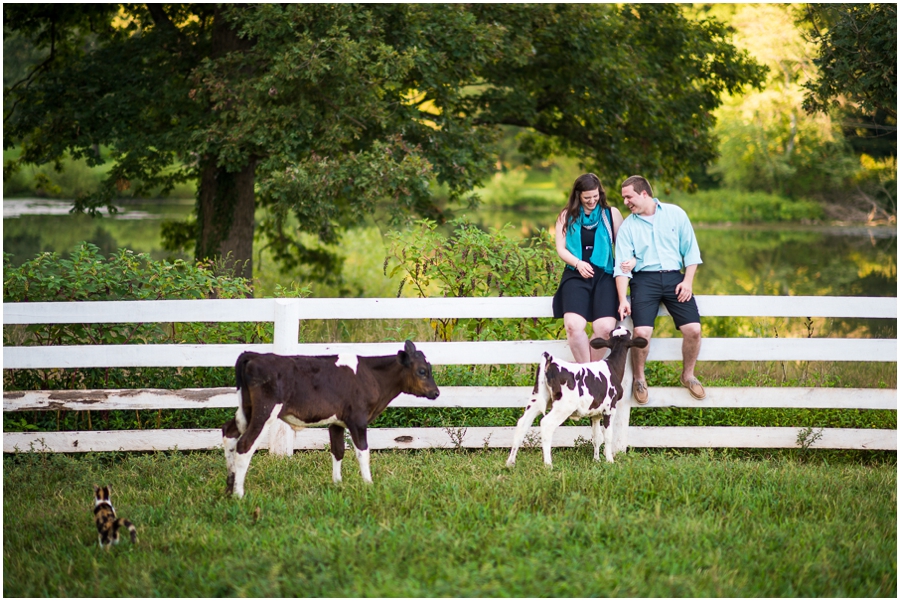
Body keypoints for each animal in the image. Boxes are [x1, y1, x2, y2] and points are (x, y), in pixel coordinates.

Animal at [221, 340, 440, 494]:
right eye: (422, 371)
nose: (436, 392)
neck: (371, 375)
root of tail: (254, 355)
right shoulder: (357, 420)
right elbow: (363, 452)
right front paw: (368, 484)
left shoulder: (337, 422)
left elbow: (338, 451)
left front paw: (337, 484)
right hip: (265, 412)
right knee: (245, 445)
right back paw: (239, 494)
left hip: (247, 410)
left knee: (228, 432)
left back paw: (229, 488)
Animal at [506, 326, 648, 466]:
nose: (621, 326)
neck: (613, 367)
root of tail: (551, 359)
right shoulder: (610, 408)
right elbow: (608, 435)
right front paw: (609, 460)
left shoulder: (595, 413)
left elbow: (597, 437)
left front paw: (596, 460)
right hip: (563, 406)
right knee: (546, 424)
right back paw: (548, 464)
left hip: (536, 399)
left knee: (522, 423)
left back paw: (510, 463)